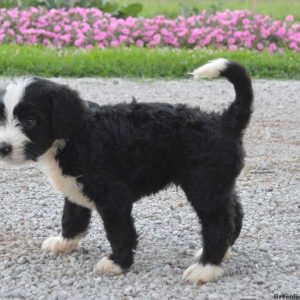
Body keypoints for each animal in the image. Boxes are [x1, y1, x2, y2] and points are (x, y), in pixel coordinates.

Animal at [0, 58, 253, 284]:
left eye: (30, 121)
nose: (3, 147)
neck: (75, 135)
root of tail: (224, 121)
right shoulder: (74, 186)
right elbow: (71, 216)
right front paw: (65, 242)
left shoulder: (113, 195)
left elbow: (119, 231)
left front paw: (117, 263)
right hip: (219, 183)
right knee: (235, 213)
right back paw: (220, 254)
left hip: (204, 186)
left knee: (219, 223)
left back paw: (206, 268)